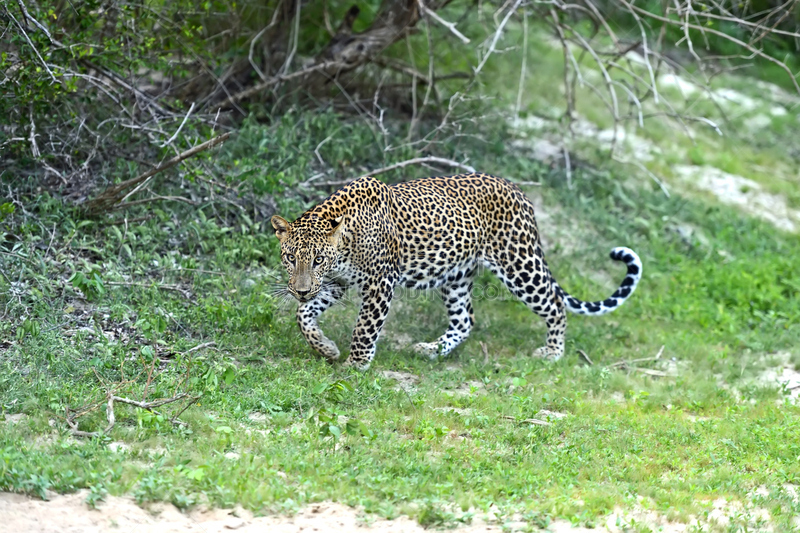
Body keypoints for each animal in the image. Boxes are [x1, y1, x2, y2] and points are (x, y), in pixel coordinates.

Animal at [272, 174, 640, 370]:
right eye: (290, 257)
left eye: (318, 259)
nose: (300, 288)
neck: (346, 241)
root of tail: (518, 191)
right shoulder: (335, 283)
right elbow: (304, 315)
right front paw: (326, 347)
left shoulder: (379, 283)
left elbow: (364, 328)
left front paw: (355, 364)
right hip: (456, 276)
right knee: (465, 319)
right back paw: (432, 349)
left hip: (519, 264)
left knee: (555, 303)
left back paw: (552, 352)